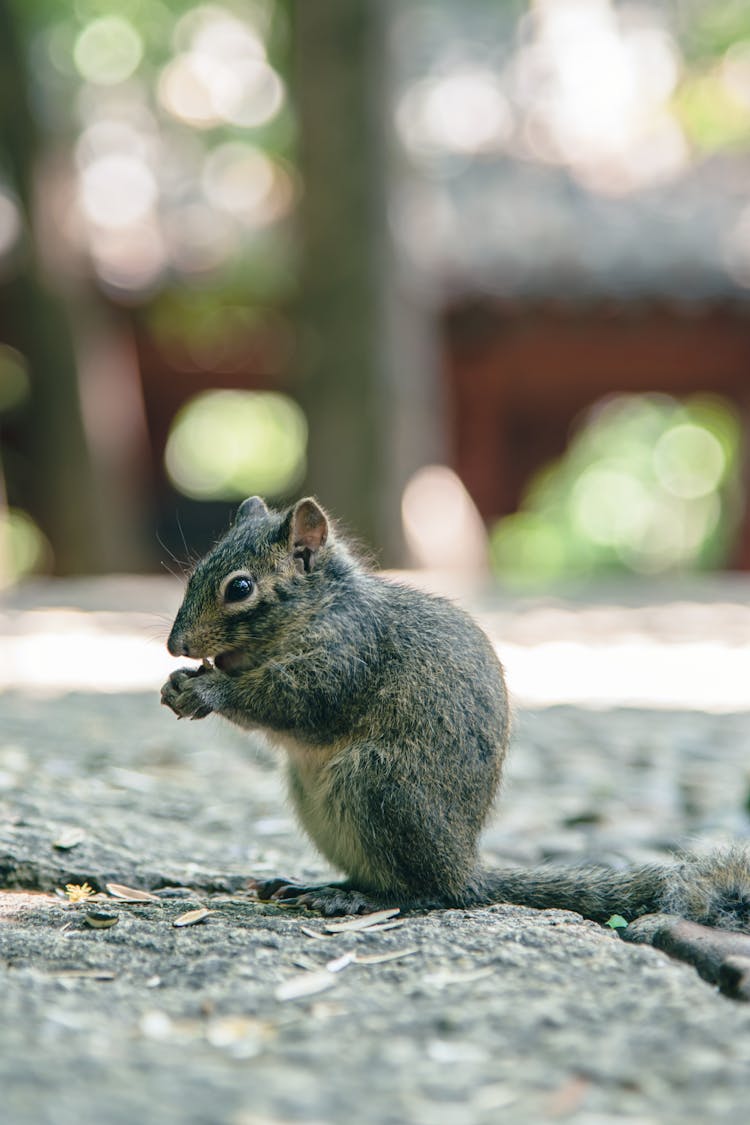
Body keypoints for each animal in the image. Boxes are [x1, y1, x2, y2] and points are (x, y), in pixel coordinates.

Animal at [161, 497, 750, 927]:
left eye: (240, 587)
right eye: (195, 574)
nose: (175, 646)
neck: (322, 608)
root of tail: (465, 868)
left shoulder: (348, 656)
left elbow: (298, 701)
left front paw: (208, 691)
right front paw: (176, 684)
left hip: (379, 786)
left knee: (425, 893)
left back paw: (358, 901)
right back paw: (316, 885)